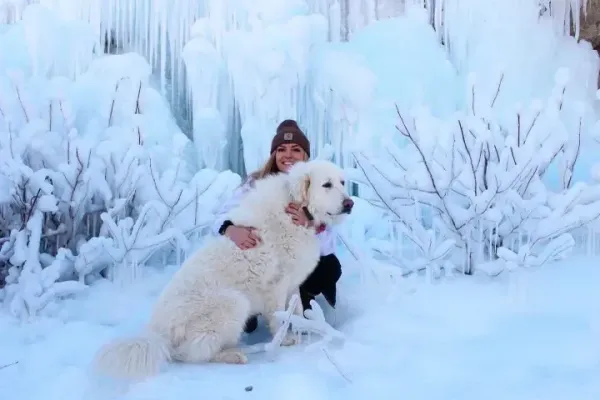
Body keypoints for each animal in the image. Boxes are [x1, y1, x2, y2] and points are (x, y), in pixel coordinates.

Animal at [92, 159, 354, 378]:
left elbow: (297, 311)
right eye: (326, 184)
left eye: (342, 182)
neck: (296, 207)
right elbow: (280, 317)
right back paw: (234, 354)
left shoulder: (293, 283)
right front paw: (286, 339)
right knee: (190, 353)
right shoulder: (277, 284)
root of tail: (157, 333)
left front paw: (305, 329)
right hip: (234, 303)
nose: (350, 203)